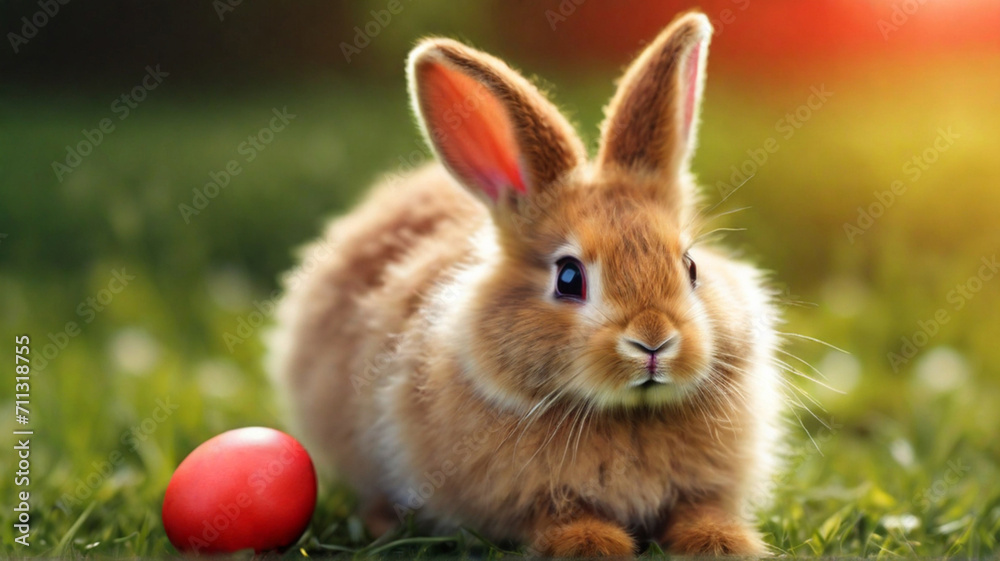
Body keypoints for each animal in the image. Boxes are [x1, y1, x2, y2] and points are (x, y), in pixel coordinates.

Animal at [269, 10, 783, 557]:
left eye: (690, 267)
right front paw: (592, 544)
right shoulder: (527, 503)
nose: (653, 340)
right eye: (569, 277)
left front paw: (724, 542)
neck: (628, 414)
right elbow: (557, 519)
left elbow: (702, 511)